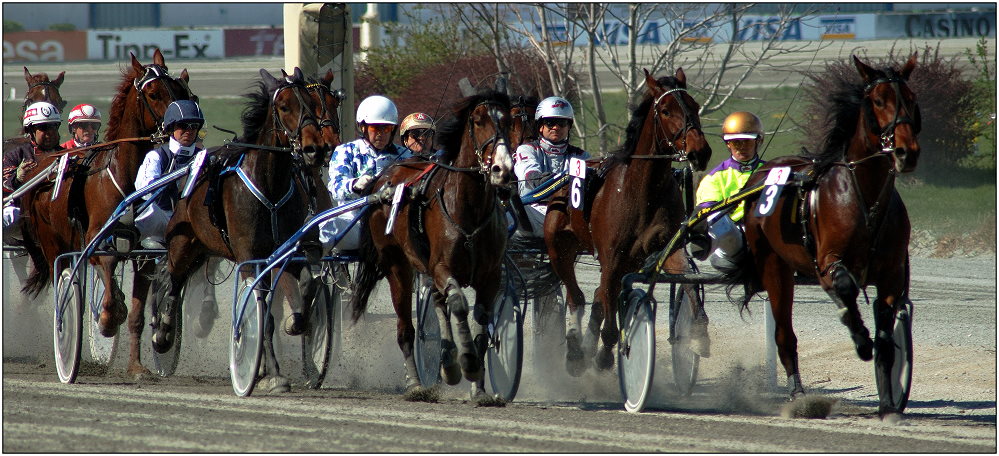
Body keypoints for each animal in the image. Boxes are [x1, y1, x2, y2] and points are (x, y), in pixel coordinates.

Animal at [19, 49, 195, 378]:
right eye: (153, 93)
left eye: (179, 89)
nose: (179, 127)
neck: (127, 178)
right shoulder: (99, 241)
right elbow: (110, 289)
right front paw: (107, 319)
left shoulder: (144, 250)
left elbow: (137, 313)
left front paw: (137, 366)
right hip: (52, 243)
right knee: (64, 280)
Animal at [146, 67, 340, 392]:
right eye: (284, 106)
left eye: (315, 104)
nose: (316, 148)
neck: (270, 184)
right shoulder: (249, 255)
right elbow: (264, 315)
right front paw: (271, 374)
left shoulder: (291, 251)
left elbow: (304, 290)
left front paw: (295, 326)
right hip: (184, 241)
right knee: (170, 280)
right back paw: (162, 334)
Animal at [348, 90, 512, 396]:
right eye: (478, 120)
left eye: (508, 121)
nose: (503, 169)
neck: (469, 209)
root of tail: (384, 180)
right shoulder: (441, 267)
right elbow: (458, 303)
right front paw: (467, 362)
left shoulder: (491, 276)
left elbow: (482, 321)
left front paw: (479, 389)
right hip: (397, 267)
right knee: (406, 328)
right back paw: (415, 384)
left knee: (436, 302)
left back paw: (446, 362)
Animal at [548, 67, 712, 374]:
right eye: (666, 110)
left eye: (694, 106)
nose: (701, 151)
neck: (641, 191)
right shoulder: (612, 257)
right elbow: (611, 321)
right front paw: (604, 355)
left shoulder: (667, 247)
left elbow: (688, 280)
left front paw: (698, 335)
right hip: (558, 248)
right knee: (577, 297)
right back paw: (576, 350)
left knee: (598, 297)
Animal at [744, 53, 920, 416]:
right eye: (878, 100)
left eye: (911, 98)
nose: (906, 151)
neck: (864, 199)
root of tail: (762, 173)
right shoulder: (828, 260)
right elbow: (843, 286)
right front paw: (860, 337)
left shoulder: (892, 273)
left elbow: (887, 336)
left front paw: (888, 404)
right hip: (773, 266)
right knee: (784, 334)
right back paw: (798, 395)